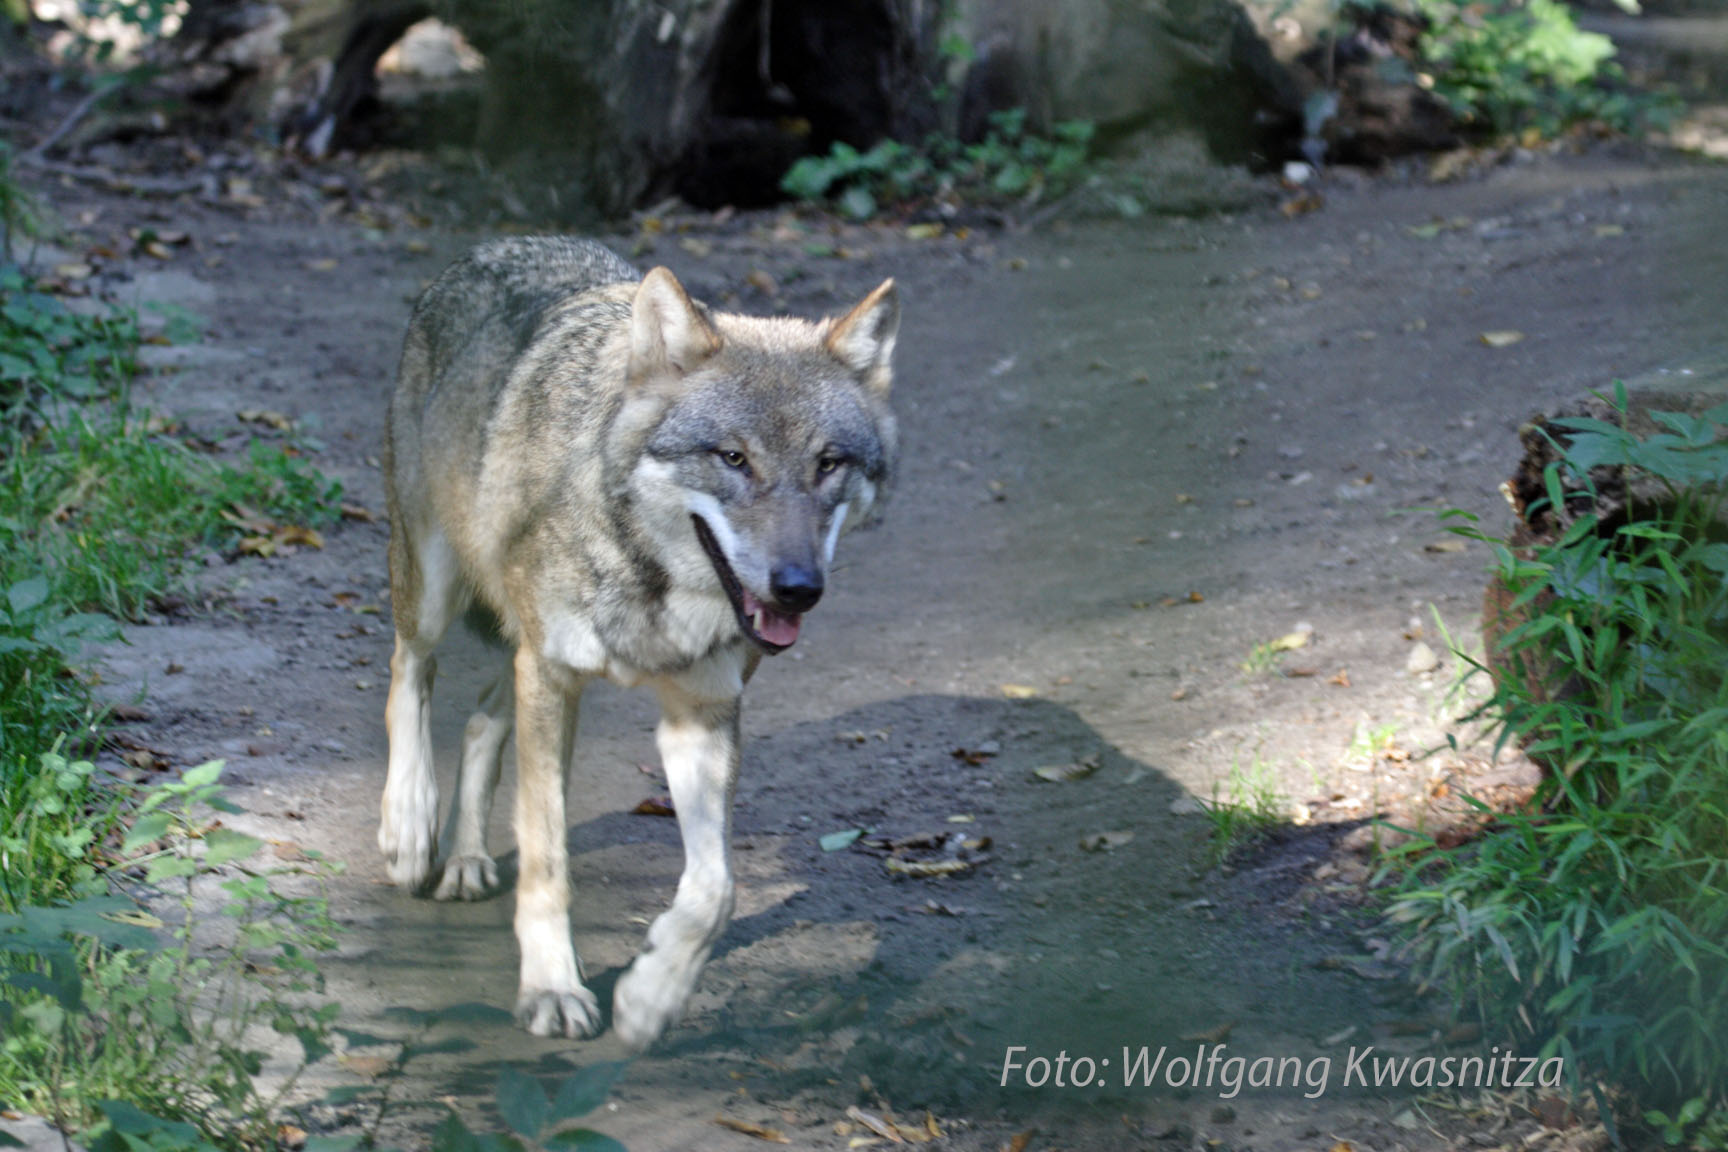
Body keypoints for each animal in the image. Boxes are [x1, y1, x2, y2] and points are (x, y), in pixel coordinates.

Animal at [376, 237, 898, 1048]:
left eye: (828, 464)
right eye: (733, 458)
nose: (797, 588)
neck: (651, 578)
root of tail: (501, 244)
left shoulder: (699, 714)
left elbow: (716, 889)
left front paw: (651, 996)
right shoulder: (549, 674)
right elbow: (548, 859)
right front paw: (553, 989)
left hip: (534, 667)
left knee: (482, 718)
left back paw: (465, 861)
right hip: (438, 593)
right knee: (410, 672)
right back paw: (408, 828)